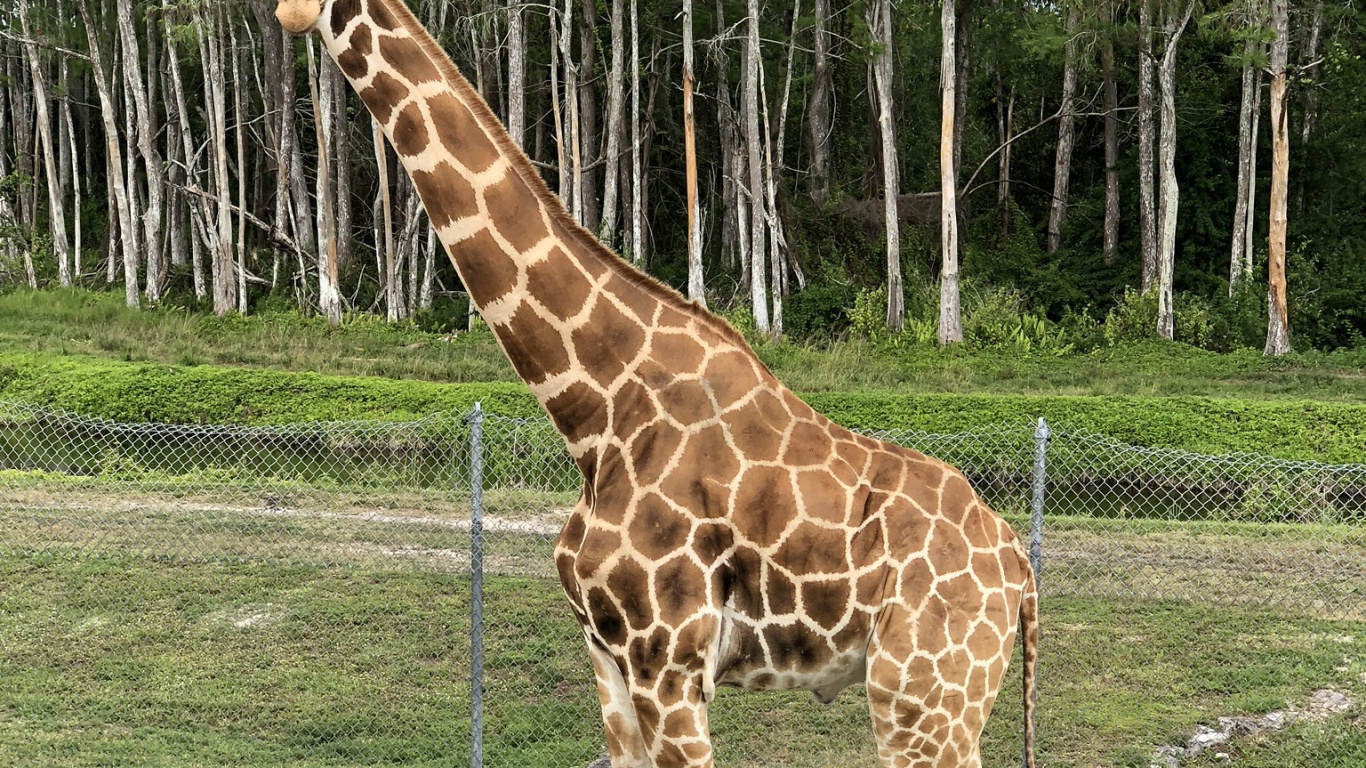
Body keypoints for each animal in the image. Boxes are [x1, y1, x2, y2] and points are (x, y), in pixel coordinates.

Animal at [275, 2, 1038, 766]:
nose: (284, 17)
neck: (593, 410)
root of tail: (1021, 573)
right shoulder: (608, 657)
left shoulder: (667, 660)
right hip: (942, 695)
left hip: (923, 692)